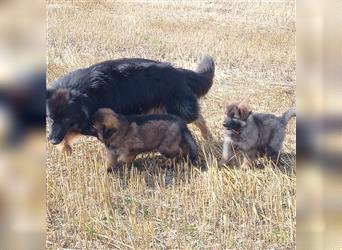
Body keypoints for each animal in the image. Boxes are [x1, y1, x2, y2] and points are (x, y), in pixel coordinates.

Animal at [46, 56, 215, 154]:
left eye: (66, 118)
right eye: (50, 118)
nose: (52, 141)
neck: (86, 93)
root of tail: (179, 72)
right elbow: (69, 133)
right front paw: (64, 148)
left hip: (178, 109)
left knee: (198, 117)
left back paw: (208, 137)